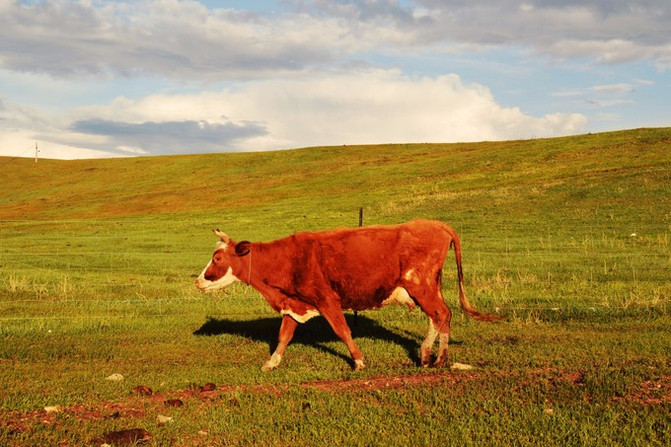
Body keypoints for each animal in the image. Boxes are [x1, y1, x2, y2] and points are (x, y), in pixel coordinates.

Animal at [193, 220, 498, 372]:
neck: (287, 259)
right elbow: (284, 336)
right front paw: (272, 362)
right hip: (428, 286)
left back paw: (438, 359)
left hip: (420, 284)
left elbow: (343, 330)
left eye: (217, 258)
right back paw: (426, 355)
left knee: (441, 314)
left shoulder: (327, 300)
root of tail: (435, 223)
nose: (198, 281)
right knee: (439, 316)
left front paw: (359, 361)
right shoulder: (296, 304)